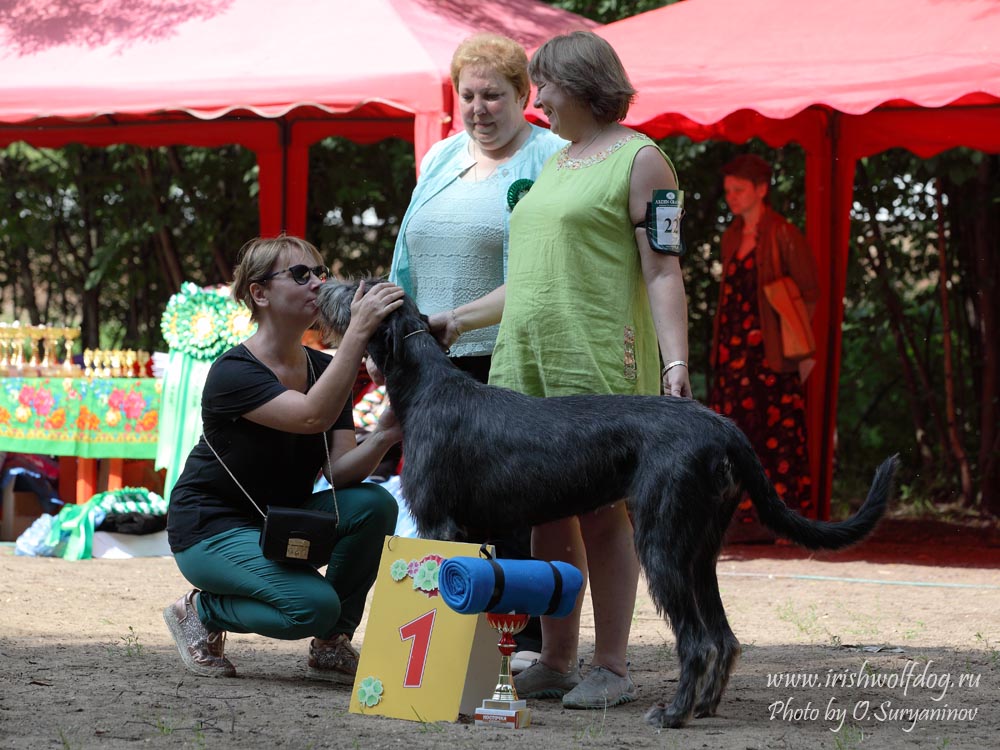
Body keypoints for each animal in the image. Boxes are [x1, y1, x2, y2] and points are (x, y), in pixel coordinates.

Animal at [316, 280, 896, 732]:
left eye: (359, 289)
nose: (322, 285)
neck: (428, 385)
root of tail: (724, 428)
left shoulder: (439, 522)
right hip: (698, 551)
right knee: (725, 638)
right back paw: (705, 708)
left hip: (661, 545)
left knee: (699, 642)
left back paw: (674, 714)